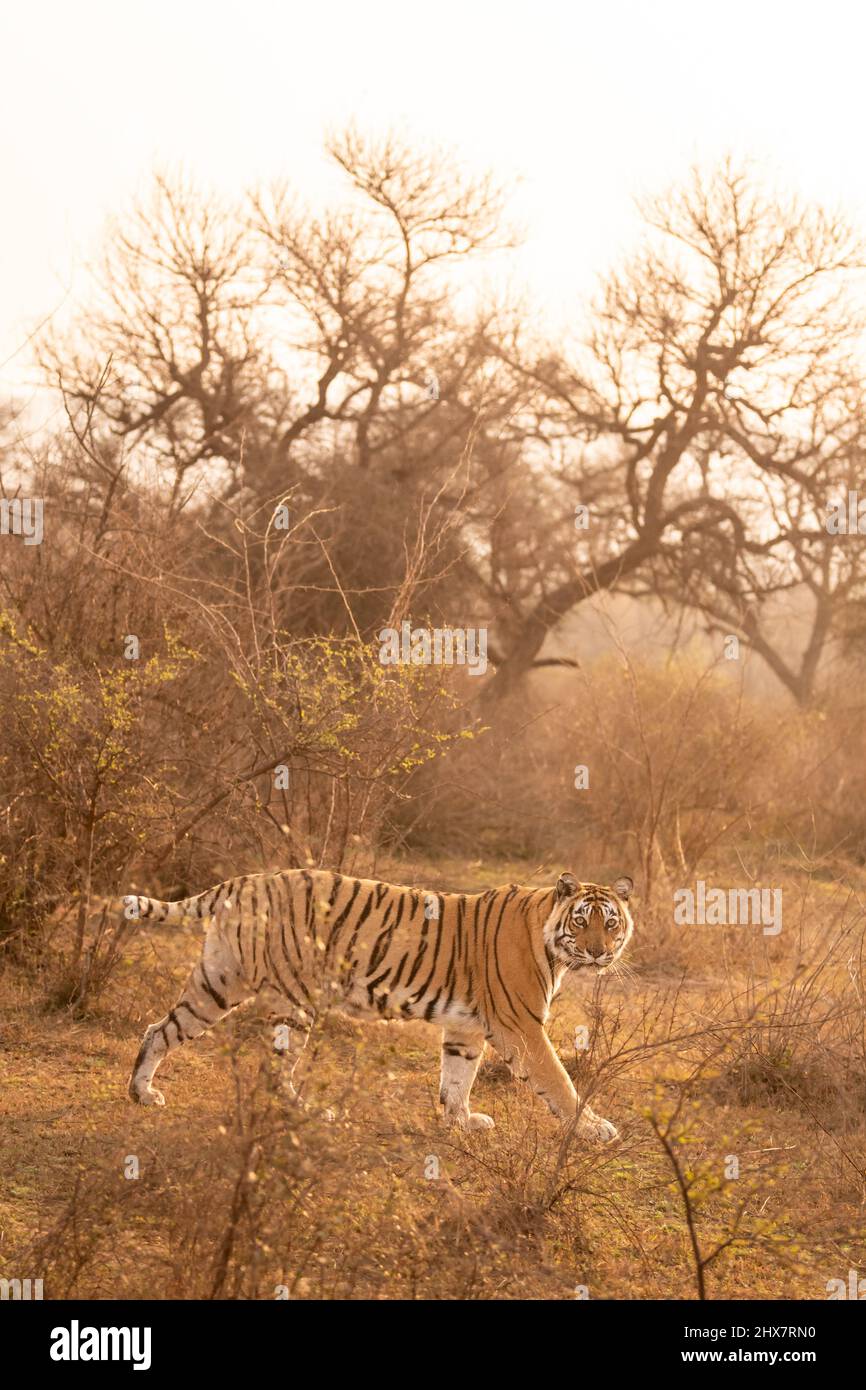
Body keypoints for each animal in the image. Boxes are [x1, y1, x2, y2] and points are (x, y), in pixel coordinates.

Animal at [125, 867, 633, 1139]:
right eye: (583, 921)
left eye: (610, 923)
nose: (598, 952)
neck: (551, 942)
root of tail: (242, 882)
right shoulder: (522, 1026)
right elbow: (559, 1081)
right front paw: (595, 1128)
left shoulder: (466, 1027)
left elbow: (457, 1077)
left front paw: (461, 1122)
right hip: (290, 1001)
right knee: (273, 1069)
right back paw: (307, 1111)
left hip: (217, 982)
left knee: (159, 1030)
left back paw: (141, 1093)